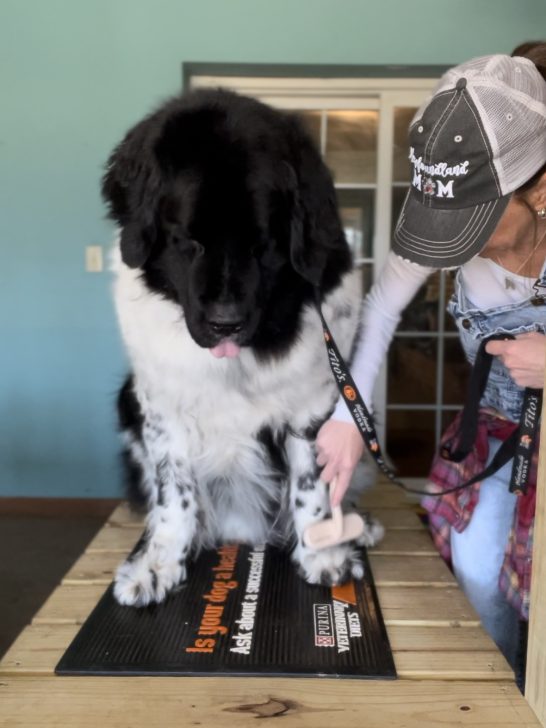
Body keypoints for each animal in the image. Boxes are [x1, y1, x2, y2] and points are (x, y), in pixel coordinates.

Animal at [102, 88, 382, 604]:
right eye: (187, 241)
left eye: (263, 244)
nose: (225, 323)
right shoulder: (160, 403)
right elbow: (174, 489)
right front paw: (158, 563)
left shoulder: (313, 402)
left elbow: (311, 483)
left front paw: (323, 553)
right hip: (126, 402)